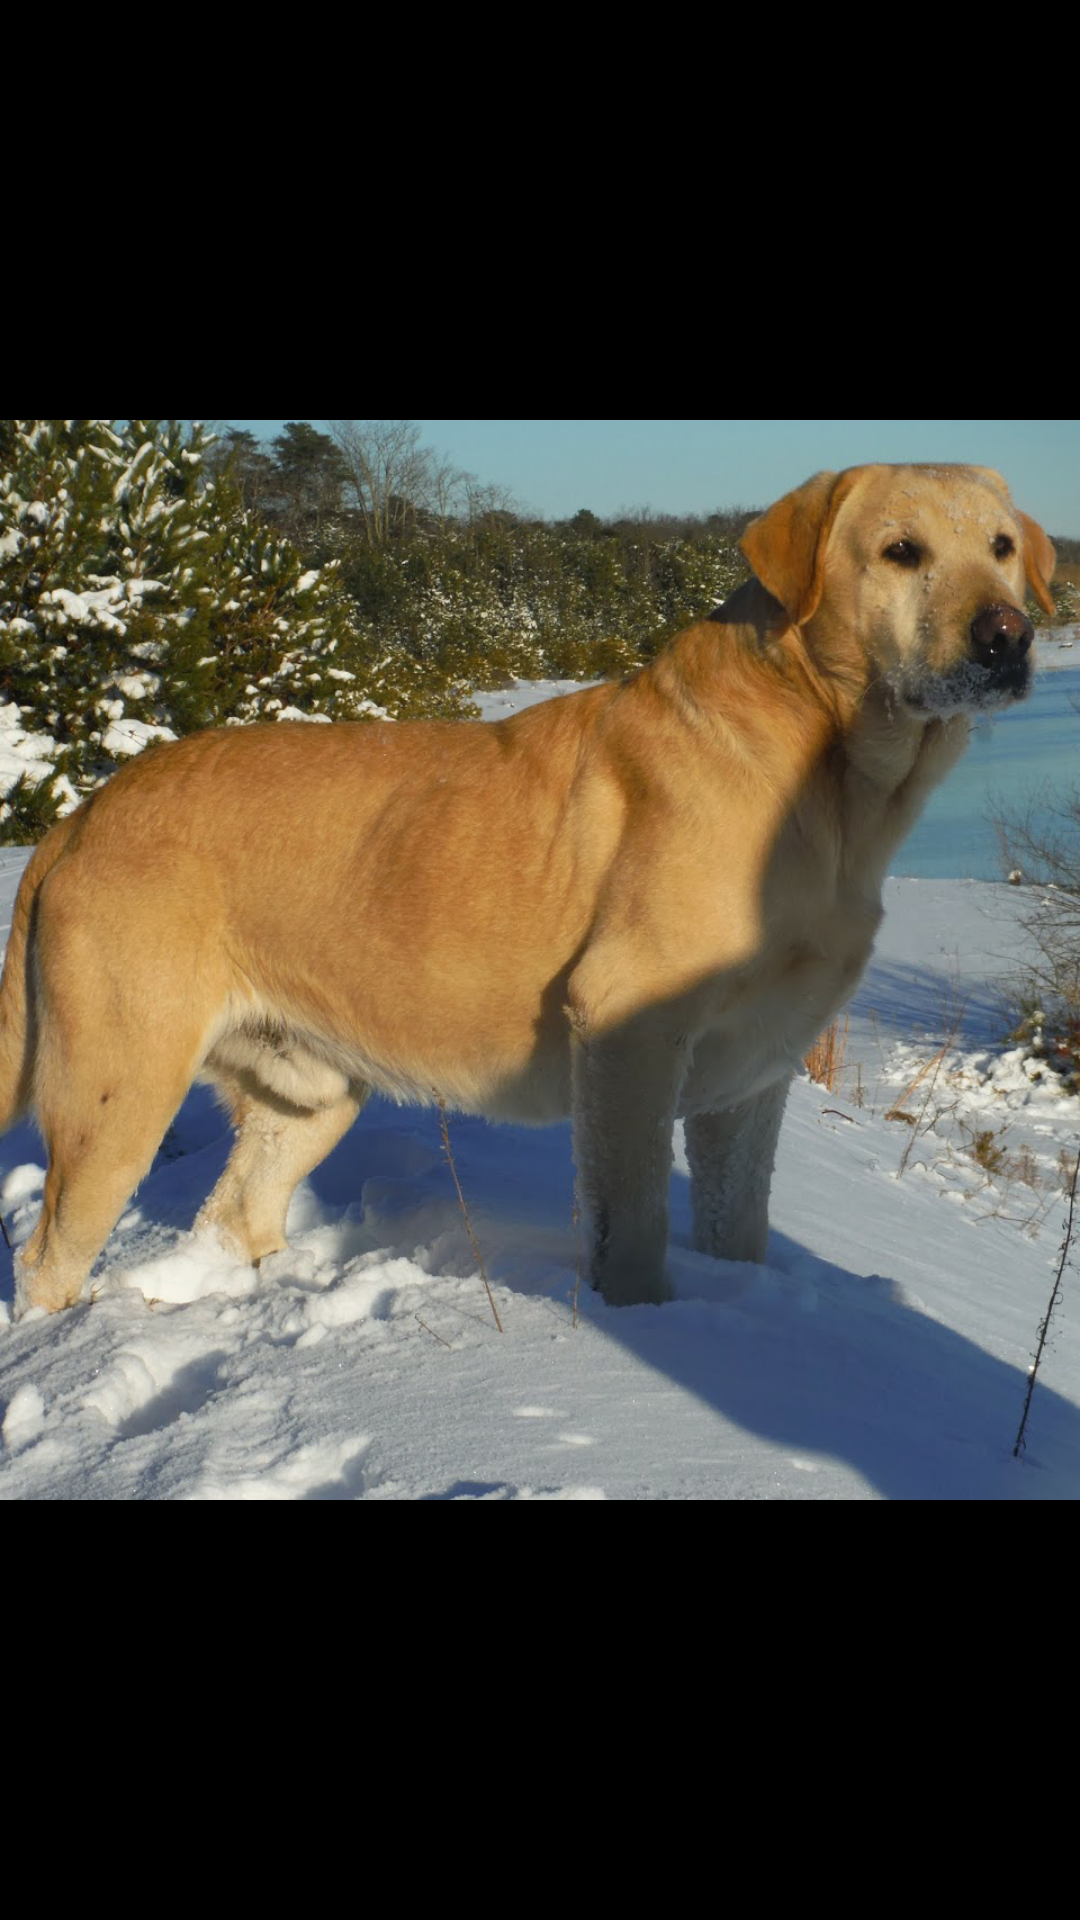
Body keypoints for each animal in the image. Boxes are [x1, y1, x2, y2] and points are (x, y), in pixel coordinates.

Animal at [0, 456, 1053, 1313]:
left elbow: (739, 1229)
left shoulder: (750, 1077)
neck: (832, 777)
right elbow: (631, 1230)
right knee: (47, 1261)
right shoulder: (629, 1031)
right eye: (901, 551)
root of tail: (80, 818)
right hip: (118, 1091)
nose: (1008, 634)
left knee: (233, 1215)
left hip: (311, 1093)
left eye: (1002, 548)